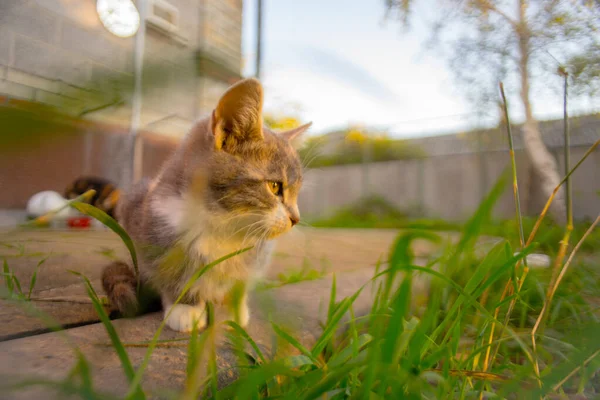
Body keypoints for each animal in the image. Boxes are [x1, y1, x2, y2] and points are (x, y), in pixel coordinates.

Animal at [101, 78, 312, 332]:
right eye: (274, 186)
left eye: (297, 193)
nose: (295, 218)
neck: (223, 225)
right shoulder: (153, 228)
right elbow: (170, 272)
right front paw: (184, 307)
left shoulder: (256, 255)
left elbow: (239, 283)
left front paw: (233, 310)